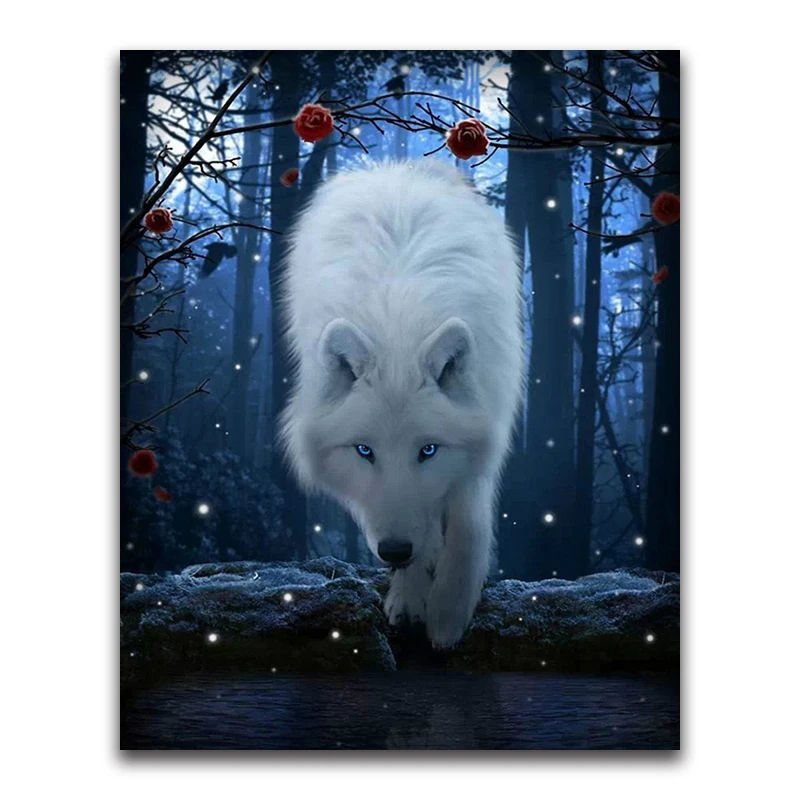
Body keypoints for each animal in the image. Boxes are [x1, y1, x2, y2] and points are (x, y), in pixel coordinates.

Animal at [279, 161, 525, 647]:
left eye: (427, 450)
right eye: (364, 451)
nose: (394, 550)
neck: (398, 328)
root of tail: (394, 167)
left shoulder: (485, 427)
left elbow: (467, 521)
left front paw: (449, 609)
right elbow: (418, 525)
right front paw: (412, 596)